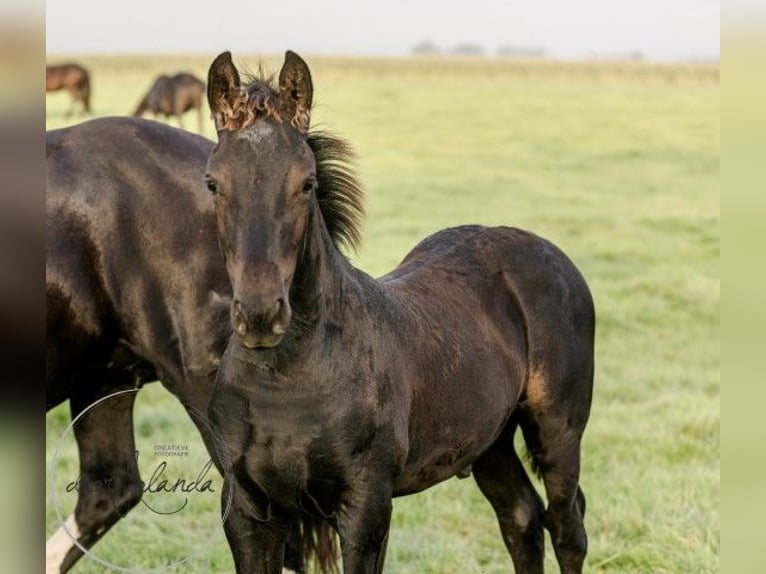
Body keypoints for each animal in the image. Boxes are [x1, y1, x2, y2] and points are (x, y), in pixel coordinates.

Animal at [206, 50, 600, 574]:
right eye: (213, 183)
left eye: (306, 183)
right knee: (521, 518)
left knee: (566, 525)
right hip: (490, 439)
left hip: (558, 429)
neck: (285, 380)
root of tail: (544, 248)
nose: (259, 314)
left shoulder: (366, 505)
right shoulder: (248, 510)